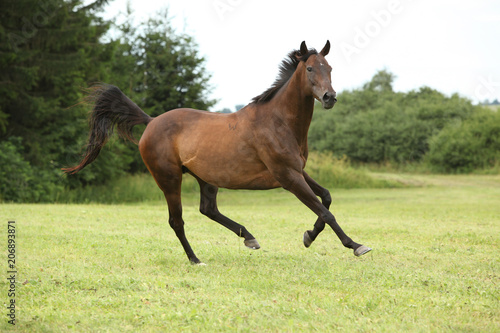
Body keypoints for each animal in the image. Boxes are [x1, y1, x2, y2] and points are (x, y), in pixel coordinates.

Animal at [64, 40, 372, 262]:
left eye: (329, 68)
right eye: (309, 69)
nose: (330, 97)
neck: (278, 121)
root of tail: (151, 122)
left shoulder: (297, 171)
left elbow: (326, 199)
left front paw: (309, 235)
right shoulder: (287, 176)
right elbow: (325, 211)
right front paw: (355, 245)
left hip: (205, 179)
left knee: (208, 209)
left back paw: (249, 237)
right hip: (169, 179)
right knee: (177, 220)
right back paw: (195, 259)